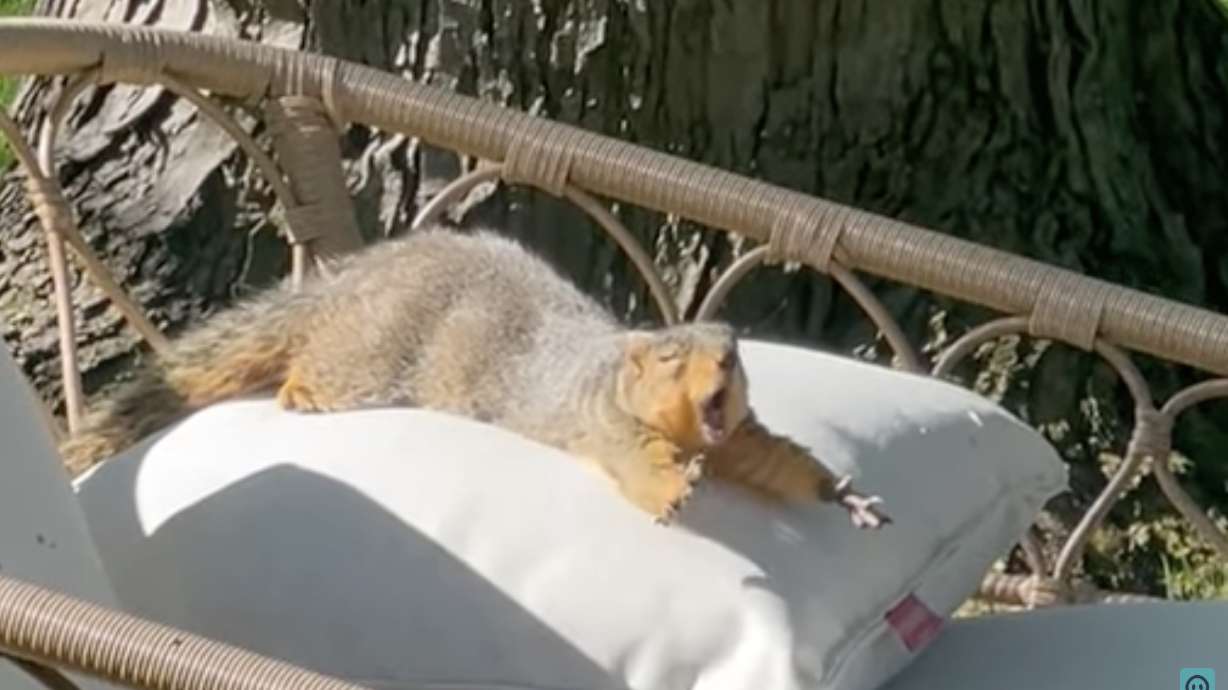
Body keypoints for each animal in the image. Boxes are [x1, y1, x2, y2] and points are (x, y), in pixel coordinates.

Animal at [60, 225, 890, 528]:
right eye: (666, 357)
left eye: (735, 350)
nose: (723, 362)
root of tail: (351, 284)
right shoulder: (608, 427)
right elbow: (637, 465)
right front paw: (670, 492)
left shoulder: (740, 436)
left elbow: (780, 462)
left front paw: (845, 497)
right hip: (368, 357)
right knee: (316, 363)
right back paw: (300, 391)